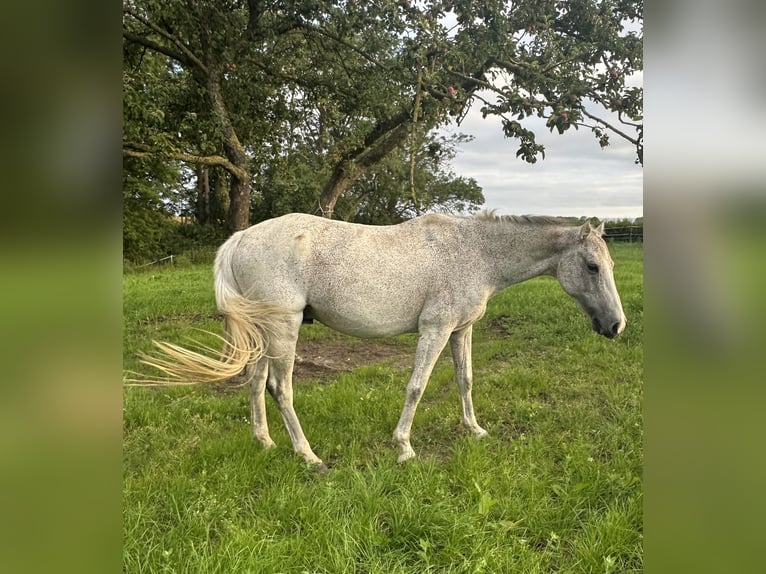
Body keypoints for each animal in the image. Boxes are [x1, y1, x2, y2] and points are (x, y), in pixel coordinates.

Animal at [141, 212, 628, 468]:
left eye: (608, 266)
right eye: (592, 267)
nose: (616, 327)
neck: (474, 253)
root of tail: (241, 237)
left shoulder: (462, 330)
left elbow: (466, 380)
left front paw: (474, 430)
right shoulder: (435, 330)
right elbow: (416, 387)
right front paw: (405, 448)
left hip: (265, 331)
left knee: (256, 382)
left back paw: (265, 443)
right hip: (285, 327)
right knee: (281, 387)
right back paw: (308, 456)